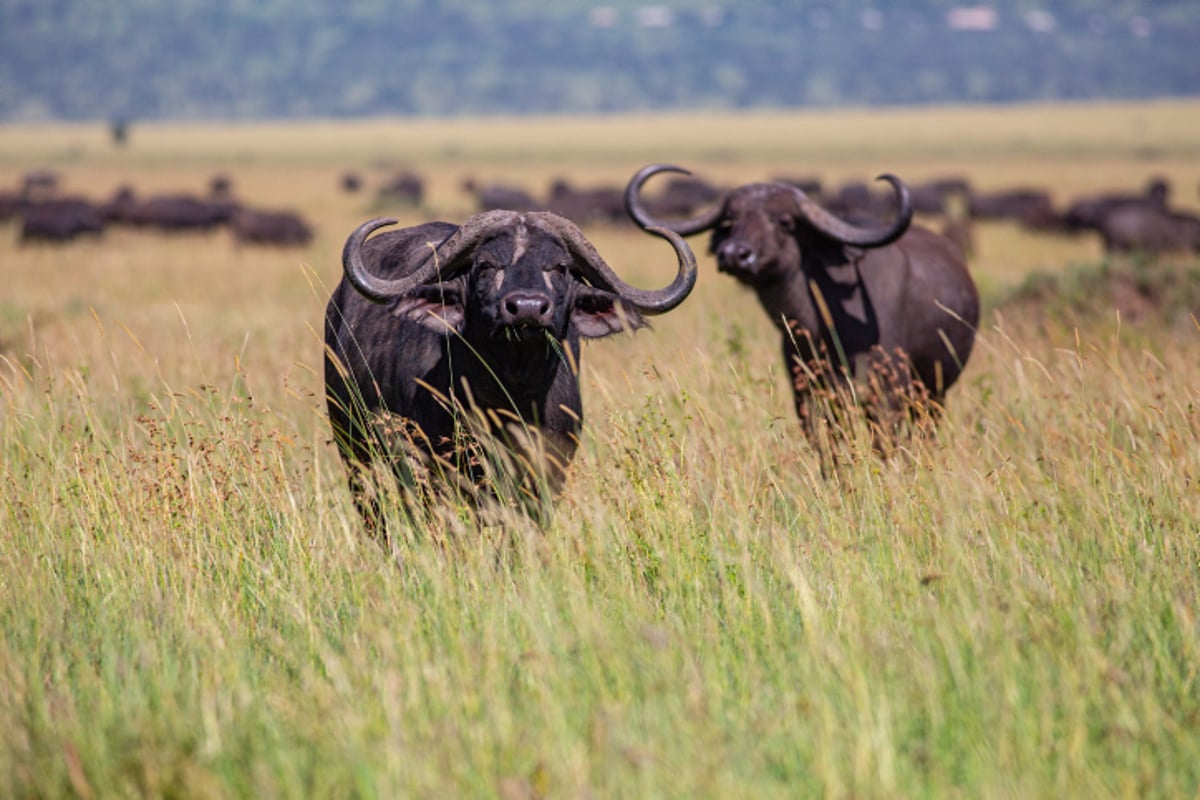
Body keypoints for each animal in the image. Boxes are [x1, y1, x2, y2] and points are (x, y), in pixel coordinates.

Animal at [324, 209, 700, 532]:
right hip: (355, 452)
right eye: (486, 265)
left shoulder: (549, 471)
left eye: (560, 267)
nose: (527, 308)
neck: (512, 395)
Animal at [624, 164, 979, 450]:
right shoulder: (808, 399)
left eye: (784, 222)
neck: (822, 324)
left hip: (934, 393)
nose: (735, 254)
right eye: (730, 220)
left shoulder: (887, 396)